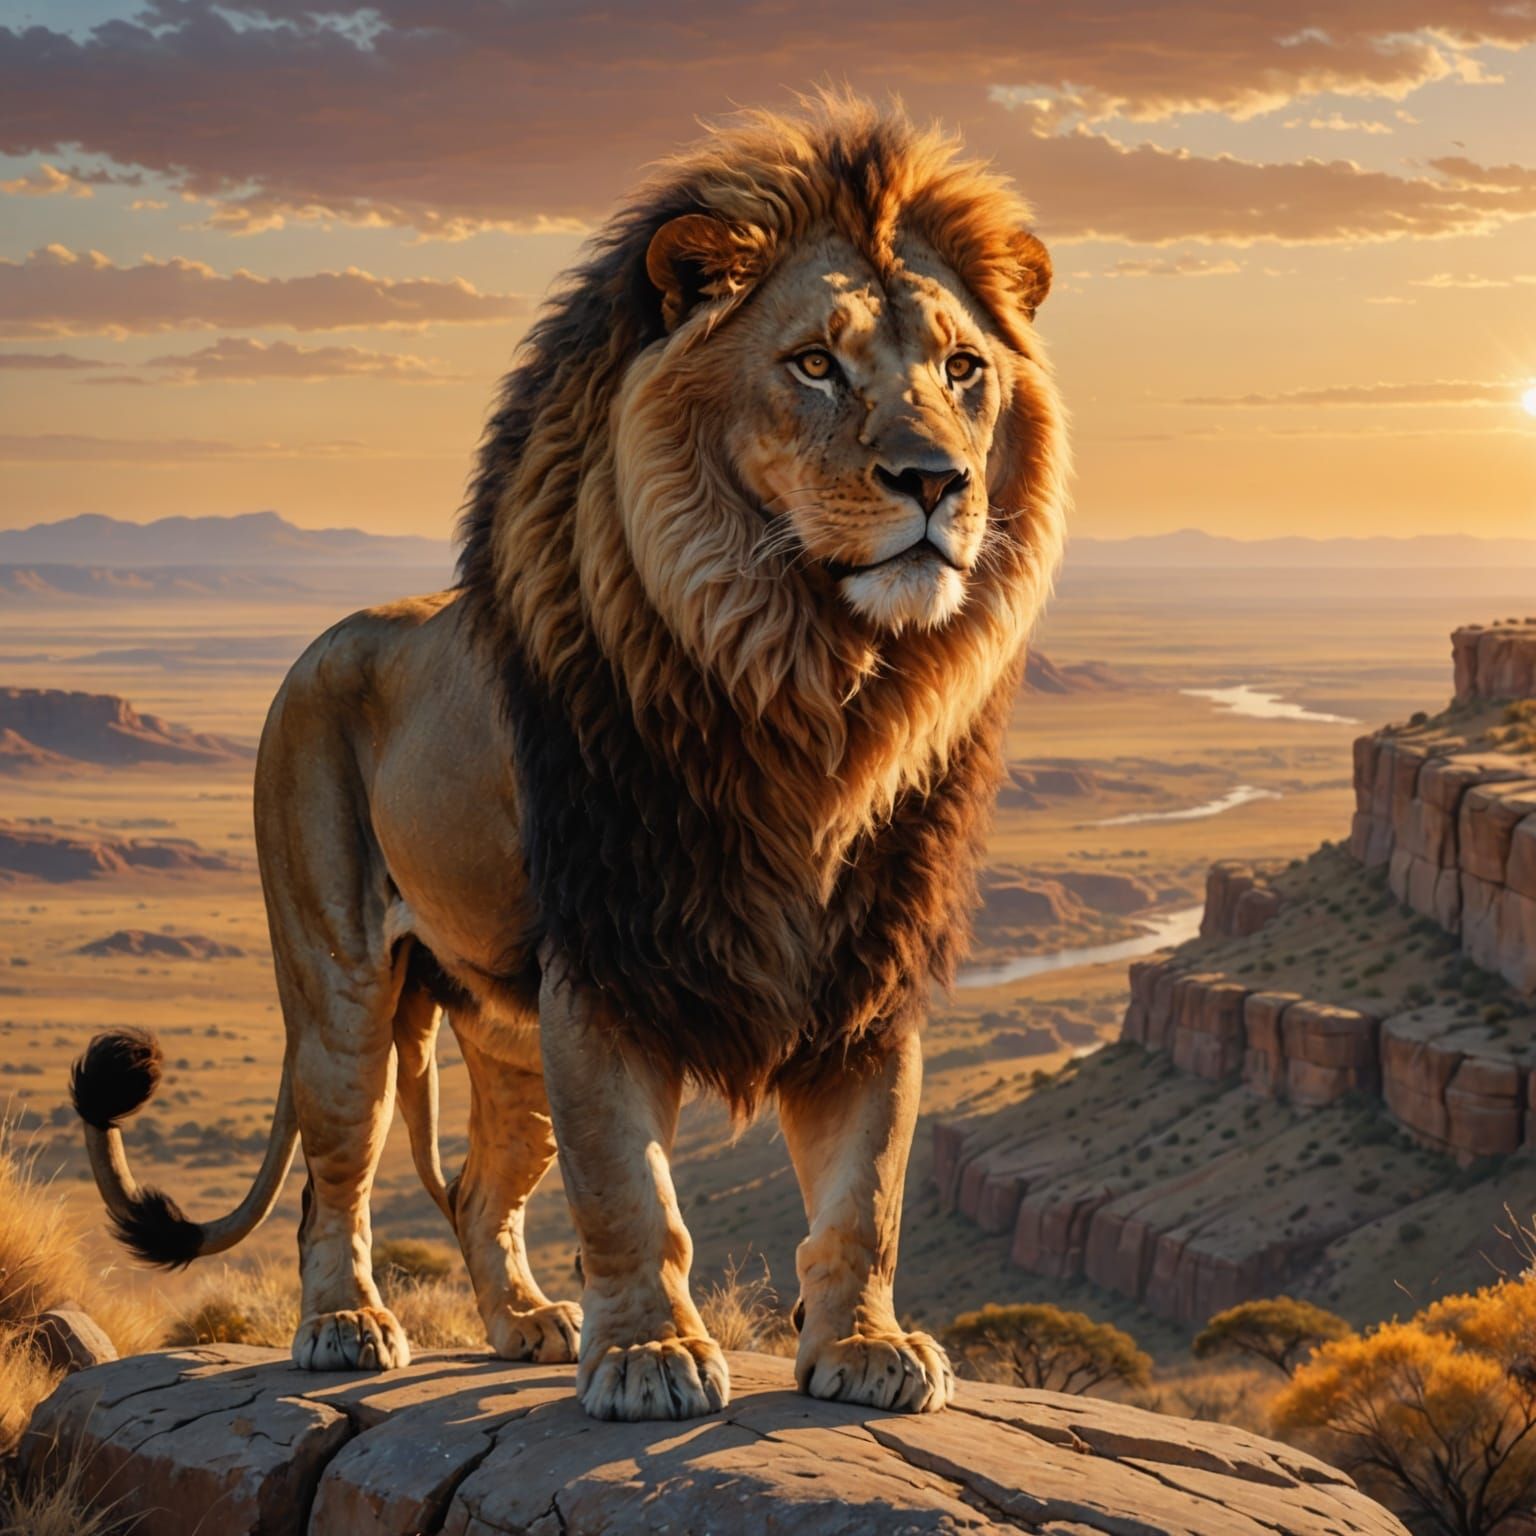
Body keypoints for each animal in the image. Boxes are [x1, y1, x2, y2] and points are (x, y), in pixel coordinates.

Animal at [70, 94, 1067, 1422]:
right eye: (815, 363)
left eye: (965, 371)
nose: (938, 482)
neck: (810, 685)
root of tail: (325, 642)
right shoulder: (605, 957)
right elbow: (629, 1191)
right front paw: (649, 1356)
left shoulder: (865, 969)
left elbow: (869, 1191)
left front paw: (866, 1347)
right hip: (340, 989)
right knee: (334, 1183)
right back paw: (345, 1326)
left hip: (501, 1026)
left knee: (481, 1192)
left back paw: (524, 1323)